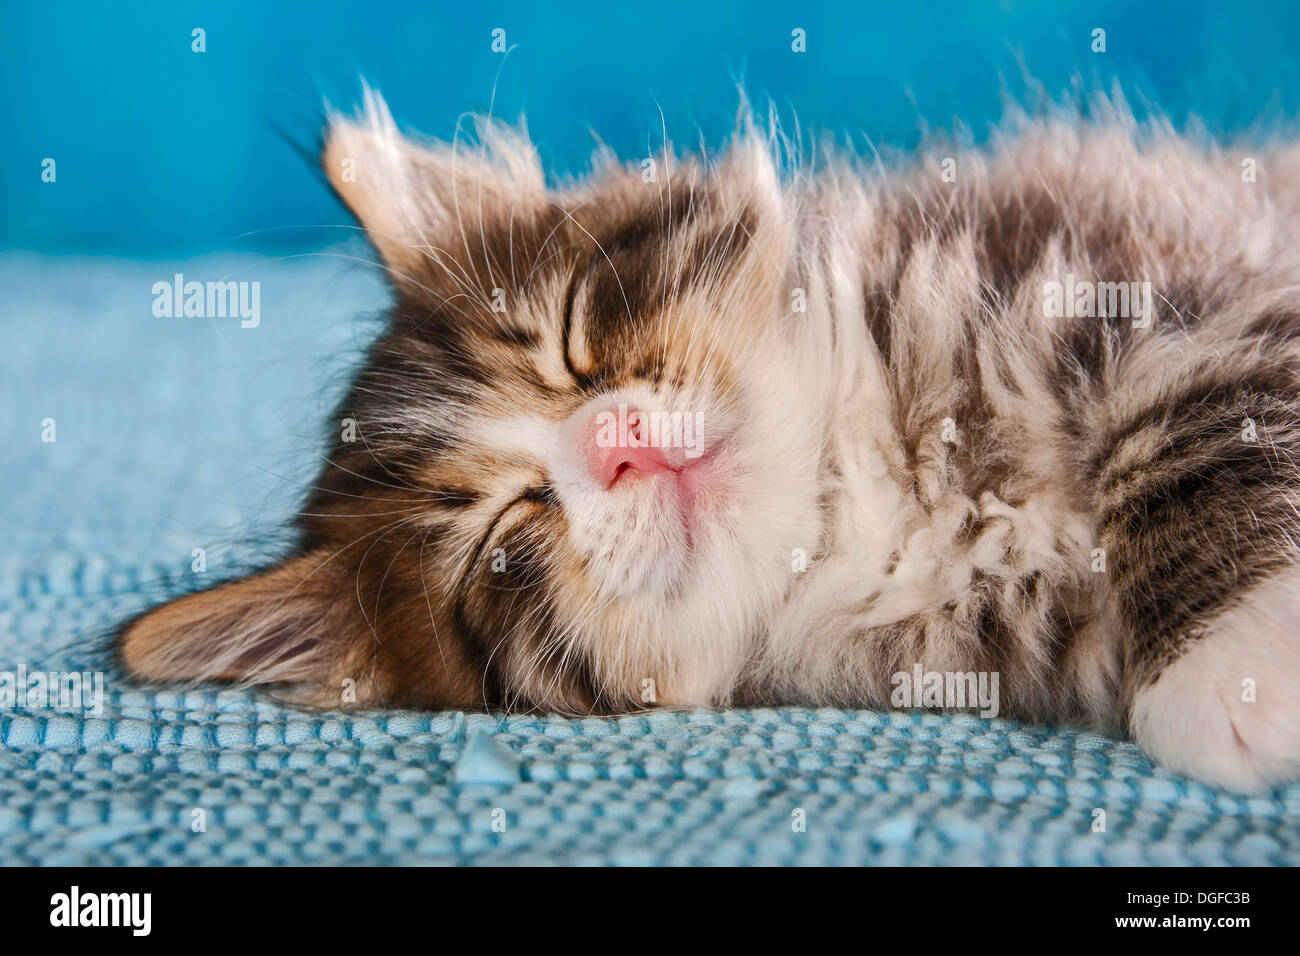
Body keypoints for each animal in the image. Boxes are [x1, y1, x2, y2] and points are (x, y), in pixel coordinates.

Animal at [122, 91, 1300, 790]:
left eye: (572, 338)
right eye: (499, 541)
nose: (619, 439)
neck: (856, 496)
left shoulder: (1165, 272)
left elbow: (1188, 429)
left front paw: (1228, 672)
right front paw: (1235, 681)